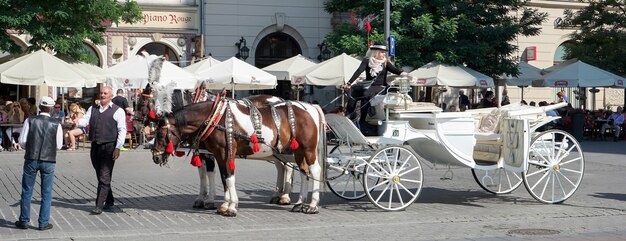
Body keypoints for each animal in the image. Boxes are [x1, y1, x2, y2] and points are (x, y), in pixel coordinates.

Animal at [152, 96, 326, 217]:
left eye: (160, 133)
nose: (155, 157)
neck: (216, 119)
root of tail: (310, 107)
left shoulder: (224, 153)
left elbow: (229, 178)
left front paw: (229, 206)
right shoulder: (216, 154)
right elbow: (223, 178)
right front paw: (224, 205)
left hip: (307, 149)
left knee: (314, 170)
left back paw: (311, 205)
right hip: (297, 151)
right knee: (303, 172)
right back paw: (299, 203)